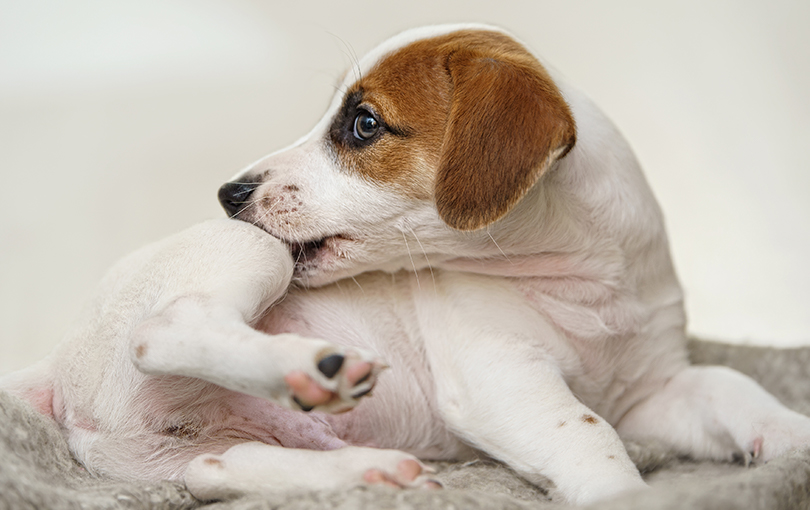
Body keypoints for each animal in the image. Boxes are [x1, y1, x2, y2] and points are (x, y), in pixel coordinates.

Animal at [3, 22, 804, 502]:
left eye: (363, 125)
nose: (229, 193)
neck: (582, 283)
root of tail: (56, 366)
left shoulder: (652, 392)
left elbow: (732, 385)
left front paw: (791, 438)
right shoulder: (500, 378)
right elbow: (588, 435)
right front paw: (625, 495)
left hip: (183, 453)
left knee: (215, 470)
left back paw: (370, 468)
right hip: (249, 255)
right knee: (164, 330)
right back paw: (311, 368)